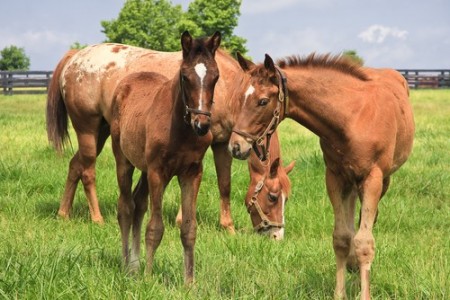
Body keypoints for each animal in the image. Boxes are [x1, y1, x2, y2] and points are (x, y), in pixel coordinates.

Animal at [44, 40, 292, 239]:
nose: (276, 235)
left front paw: (227, 227)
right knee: (87, 171)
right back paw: (97, 218)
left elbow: (224, 184)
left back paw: (63, 213)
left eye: (286, 198)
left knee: (75, 165)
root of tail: (75, 57)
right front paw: (185, 220)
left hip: (103, 132)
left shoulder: (221, 144)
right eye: (272, 197)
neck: (229, 91)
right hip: (88, 129)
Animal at [110, 31, 220, 282]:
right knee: (126, 207)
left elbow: (189, 228)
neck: (181, 128)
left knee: (139, 203)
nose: (202, 124)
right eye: (185, 76)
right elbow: (155, 228)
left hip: (145, 168)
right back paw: (126, 264)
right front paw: (149, 278)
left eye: (216, 77)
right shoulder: (158, 172)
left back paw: (135, 265)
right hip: (124, 160)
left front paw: (189, 282)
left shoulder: (192, 173)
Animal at [229, 52, 414, 298]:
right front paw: (340, 293)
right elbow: (341, 238)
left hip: (383, 180)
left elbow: (365, 241)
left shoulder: (372, 178)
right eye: (240, 98)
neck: (351, 117)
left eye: (263, 101)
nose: (235, 146)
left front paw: (363, 291)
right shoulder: (334, 177)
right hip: (350, 182)